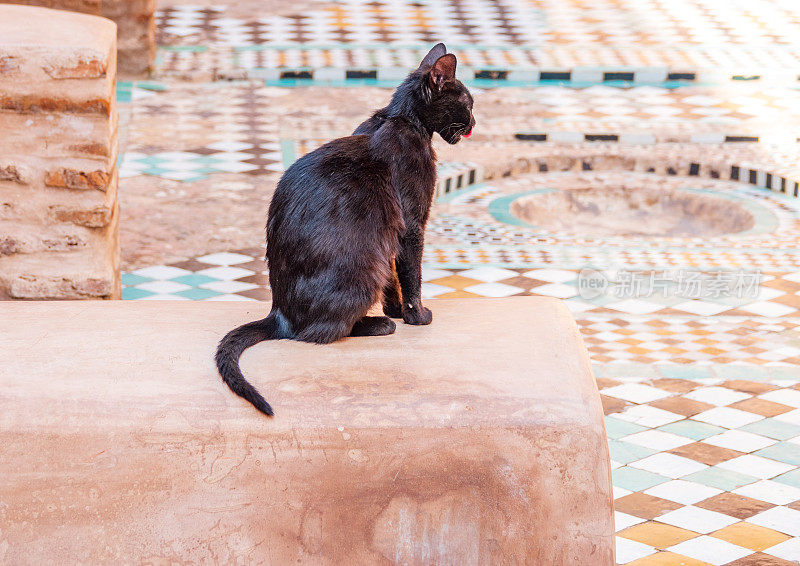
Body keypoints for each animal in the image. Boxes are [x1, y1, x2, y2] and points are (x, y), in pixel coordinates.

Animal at [214, 44, 476, 418]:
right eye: (468, 103)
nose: (473, 123)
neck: (403, 120)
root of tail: (279, 313)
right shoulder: (412, 223)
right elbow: (411, 274)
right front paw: (415, 315)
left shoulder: (391, 234)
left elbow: (394, 278)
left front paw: (396, 308)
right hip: (363, 269)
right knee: (318, 332)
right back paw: (378, 325)